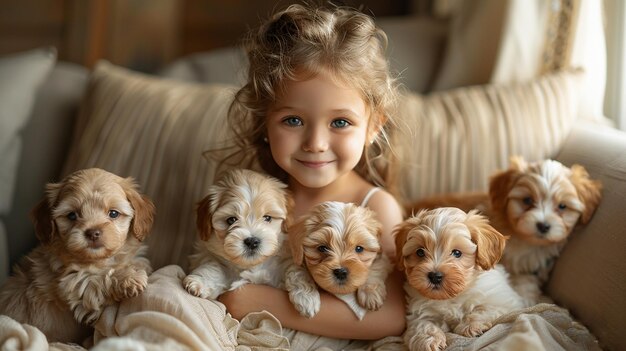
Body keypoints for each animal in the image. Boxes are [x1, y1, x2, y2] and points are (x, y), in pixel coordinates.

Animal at [0, 168, 155, 344]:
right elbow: (97, 278)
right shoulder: (73, 282)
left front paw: (135, 269)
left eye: (114, 213)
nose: (93, 233)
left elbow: (137, 260)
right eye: (72, 215)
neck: (98, 260)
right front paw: (128, 278)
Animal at [182, 170, 292, 300]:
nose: (252, 242)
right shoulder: (211, 255)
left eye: (267, 218)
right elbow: (213, 266)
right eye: (231, 220)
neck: (249, 266)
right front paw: (200, 282)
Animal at [394, 208, 520, 350]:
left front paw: (471, 325)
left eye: (457, 253)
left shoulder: (504, 301)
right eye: (420, 252)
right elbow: (422, 324)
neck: (452, 297)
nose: (435, 276)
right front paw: (429, 339)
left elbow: (484, 309)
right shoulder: (417, 313)